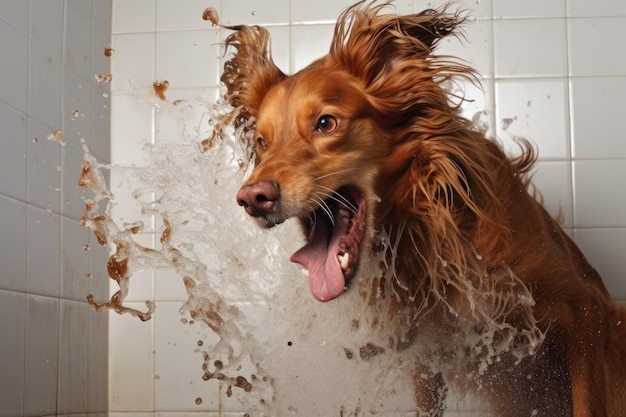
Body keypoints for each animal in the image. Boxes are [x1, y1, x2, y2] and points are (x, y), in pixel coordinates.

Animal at [221, 1, 624, 414]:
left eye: (325, 123)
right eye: (262, 142)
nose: (252, 198)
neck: (434, 230)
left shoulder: (587, 312)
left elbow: (590, 403)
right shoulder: (428, 356)